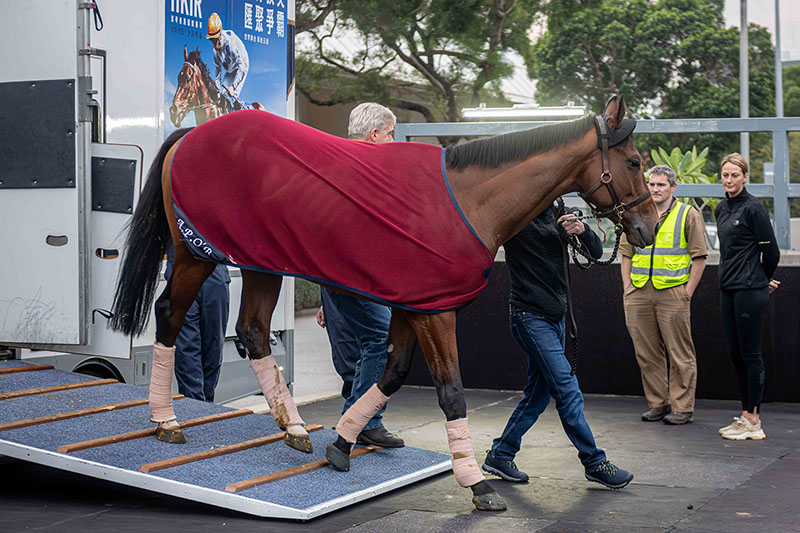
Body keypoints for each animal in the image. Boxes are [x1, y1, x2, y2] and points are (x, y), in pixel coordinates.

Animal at [108, 94, 656, 512]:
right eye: (633, 162)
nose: (649, 228)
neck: (469, 199)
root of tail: (191, 136)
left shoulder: (413, 305)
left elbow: (391, 373)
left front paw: (342, 444)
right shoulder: (435, 312)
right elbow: (450, 392)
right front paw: (477, 484)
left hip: (261, 261)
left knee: (254, 331)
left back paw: (295, 427)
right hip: (195, 254)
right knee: (170, 317)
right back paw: (166, 421)